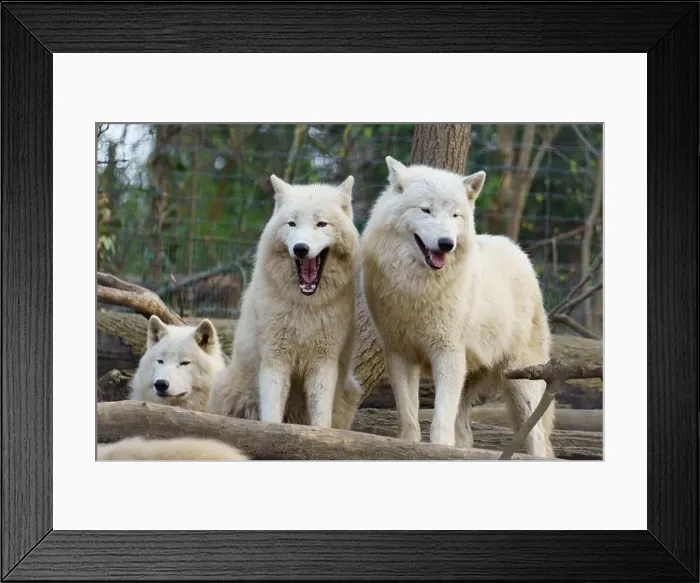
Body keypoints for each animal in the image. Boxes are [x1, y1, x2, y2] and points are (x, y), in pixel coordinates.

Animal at [209, 174, 363, 430]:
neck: (305, 306)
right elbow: (272, 412)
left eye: (321, 224)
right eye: (292, 224)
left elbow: (321, 417)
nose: (300, 248)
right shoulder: (275, 359)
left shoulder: (323, 363)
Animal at [359, 156, 554, 457]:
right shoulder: (399, 354)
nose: (446, 244)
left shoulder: (447, 353)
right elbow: (408, 416)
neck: (418, 288)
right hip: (472, 376)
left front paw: (438, 449)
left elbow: (440, 419)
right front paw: (408, 446)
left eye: (455, 215)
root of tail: (519, 251)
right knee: (465, 432)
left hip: (520, 379)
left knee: (537, 437)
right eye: (426, 210)